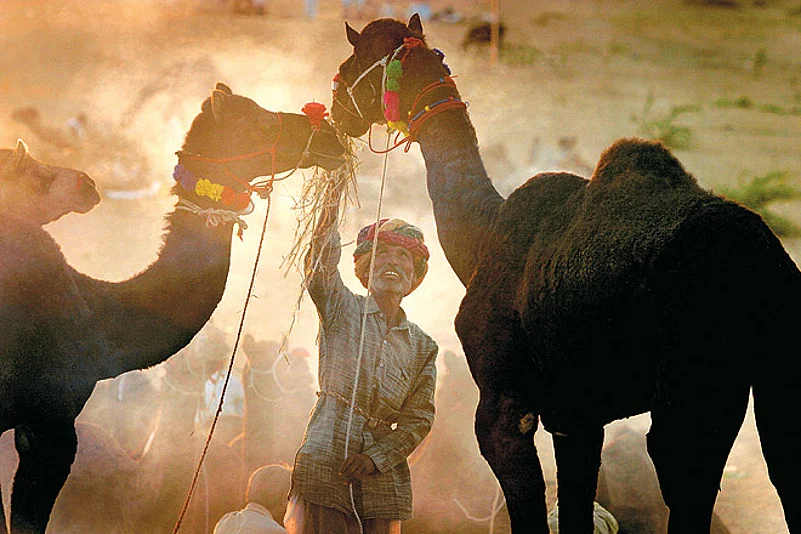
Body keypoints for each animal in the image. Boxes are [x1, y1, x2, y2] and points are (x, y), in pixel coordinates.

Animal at [329, 15, 801, 534]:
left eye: (354, 55)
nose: (335, 103)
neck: (482, 233)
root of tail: (765, 262)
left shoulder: (505, 399)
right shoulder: (576, 413)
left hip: (694, 380)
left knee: (685, 473)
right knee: (783, 469)